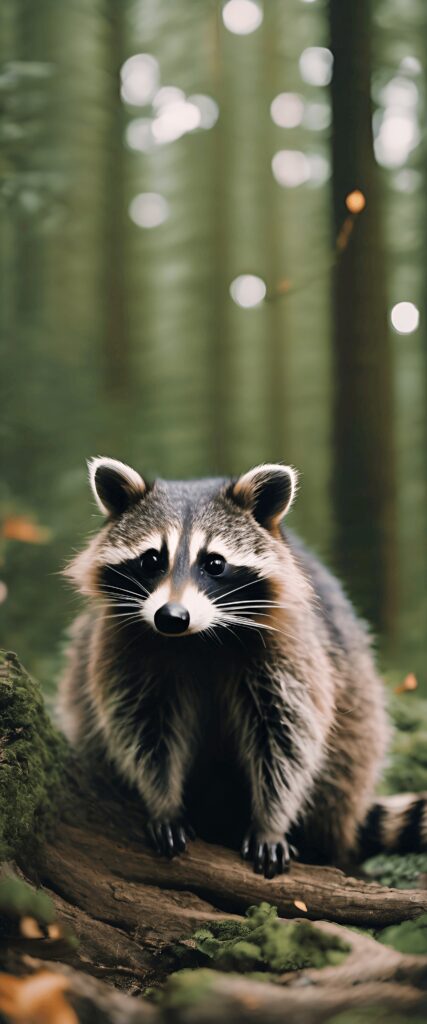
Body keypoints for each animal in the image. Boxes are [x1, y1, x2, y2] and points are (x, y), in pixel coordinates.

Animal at [58, 457, 427, 877]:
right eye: (151, 559)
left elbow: (287, 738)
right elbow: (144, 729)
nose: (172, 617)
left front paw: (271, 822)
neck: (198, 637)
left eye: (214, 563)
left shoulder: (289, 647)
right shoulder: (125, 647)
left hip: (355, 735)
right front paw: (163, 802)